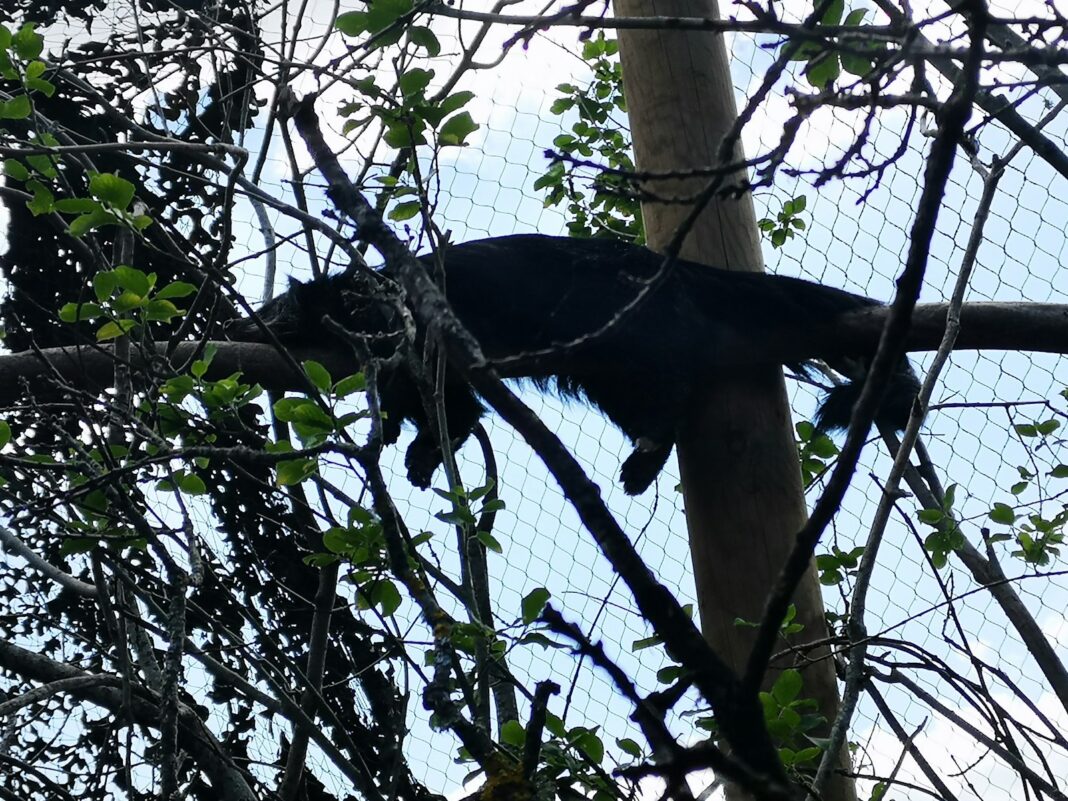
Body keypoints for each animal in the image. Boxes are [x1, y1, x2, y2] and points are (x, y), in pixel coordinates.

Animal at [227, 234, 920, 494]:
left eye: (276, 307)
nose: (236, 323)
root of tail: (658, 264)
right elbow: (431, 405)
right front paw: (411, 441)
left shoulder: (419, 338)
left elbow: (450, 404)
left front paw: (422, 446)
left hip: (614, 349)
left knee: (671, 392)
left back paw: (642, 463)